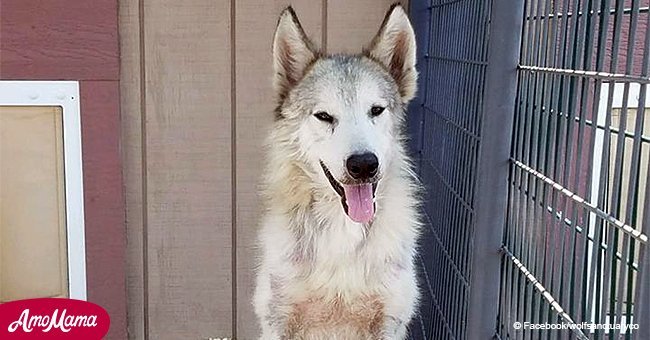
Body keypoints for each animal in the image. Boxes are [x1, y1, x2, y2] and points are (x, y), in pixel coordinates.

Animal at [253, 3, 420, 338]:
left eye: (376, 110)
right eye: (324, 116)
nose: (364, 164)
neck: (342, 231)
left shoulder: (390, 320)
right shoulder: (277, 319)